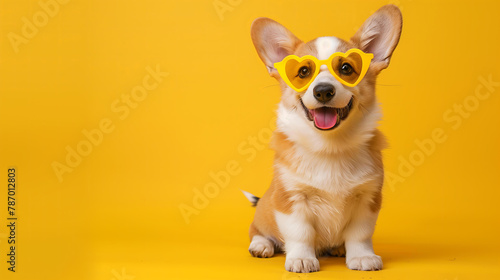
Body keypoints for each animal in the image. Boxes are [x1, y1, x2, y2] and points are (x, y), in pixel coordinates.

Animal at [246, 4, 402, 272]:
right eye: (303, 72)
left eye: (346, 69)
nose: (323, 91)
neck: (330, 146)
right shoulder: (291, 199)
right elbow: (300, 234)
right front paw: (301, 259)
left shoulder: (367, 200)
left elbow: (360, 234)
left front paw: (362, 257)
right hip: (265, 212)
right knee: (257, 231)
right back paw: (261, 246)